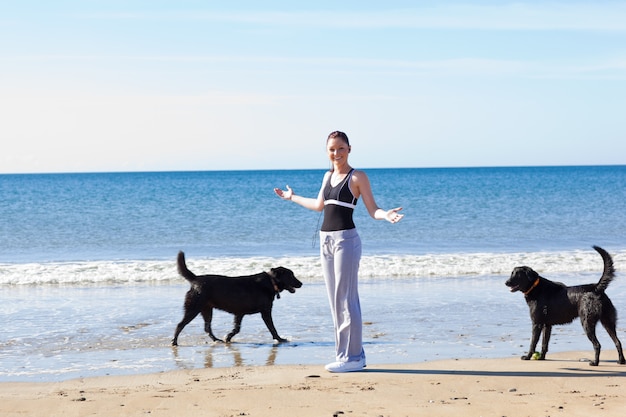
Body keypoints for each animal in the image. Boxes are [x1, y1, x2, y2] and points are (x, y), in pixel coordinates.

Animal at [172, 250, 302, 344]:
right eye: (291, 275)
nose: (301, 283)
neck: (271, 282)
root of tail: (196, 279)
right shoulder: (265, 312)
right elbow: (272, 328)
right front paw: (280, 339)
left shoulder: (239, 313)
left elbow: (237, 328)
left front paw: (228, 337)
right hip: (194, 308)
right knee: (180, 324)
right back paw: (174, 342)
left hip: (207, 310)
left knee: (207, 328)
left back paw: (216, 340)